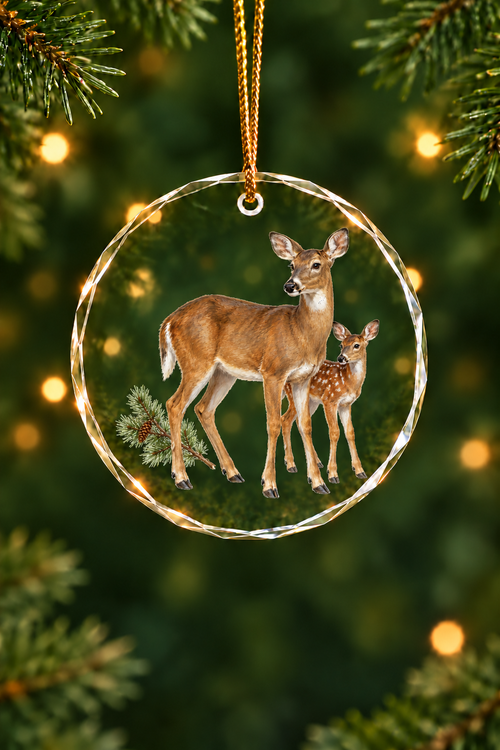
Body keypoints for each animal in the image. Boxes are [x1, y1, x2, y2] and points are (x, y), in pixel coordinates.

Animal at [158, 229, 349, 499]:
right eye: (291, 264)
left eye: (316, 264)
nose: (290, 285)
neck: (302, 333)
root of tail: (169, 320)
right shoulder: (273, 371)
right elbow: (273, 423)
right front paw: (269, 485)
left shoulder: (303, 378)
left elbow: (306, 425)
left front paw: (318, 483)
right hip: (196, 362)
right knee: (175, 405)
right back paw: (181, 478)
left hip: (224, 372)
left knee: (203, 408)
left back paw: (232, 473)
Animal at [281, 319, 379, 484]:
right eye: (341, 344)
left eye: (356, 345)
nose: (341, 358)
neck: (348, 381)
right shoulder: (330, 400)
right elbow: (334, 432)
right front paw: (333, 474)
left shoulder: (346, 405)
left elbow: (350, 432)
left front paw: (359, 471)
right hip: (294, 396)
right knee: (285, 420)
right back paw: (291, 465)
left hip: (311, 402)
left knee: (299, 422)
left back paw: (316, 462)